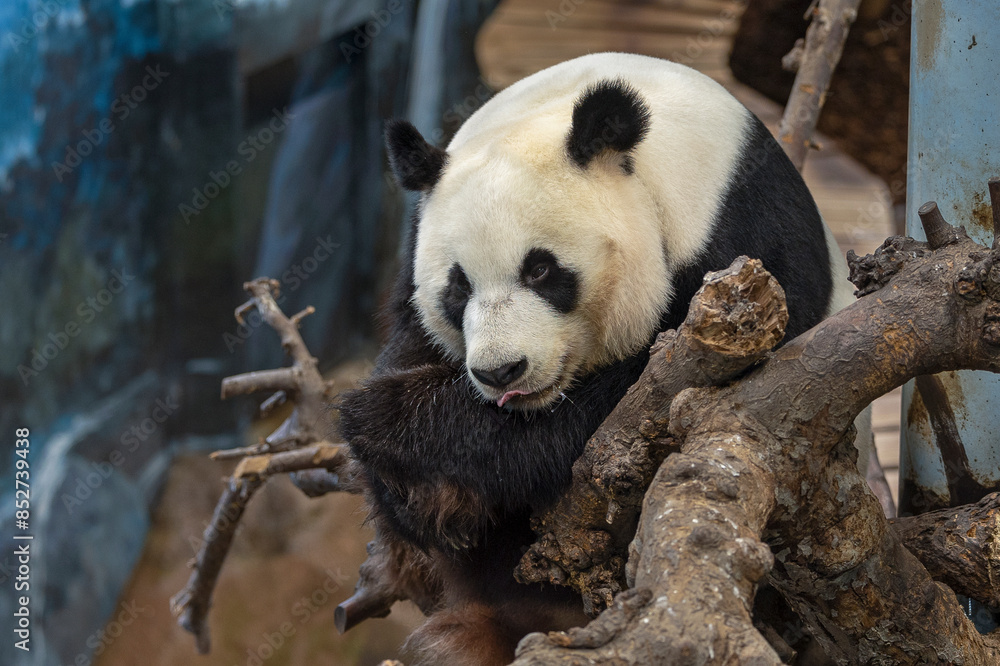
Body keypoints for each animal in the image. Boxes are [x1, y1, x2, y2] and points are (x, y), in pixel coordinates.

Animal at [339, 52, 865, 666]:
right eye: (458, 287)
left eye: (540, 270)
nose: (500, 372)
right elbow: (408, 341)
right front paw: (427, 494)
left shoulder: (748, 256)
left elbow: (641, 410)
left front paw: (402, 428)